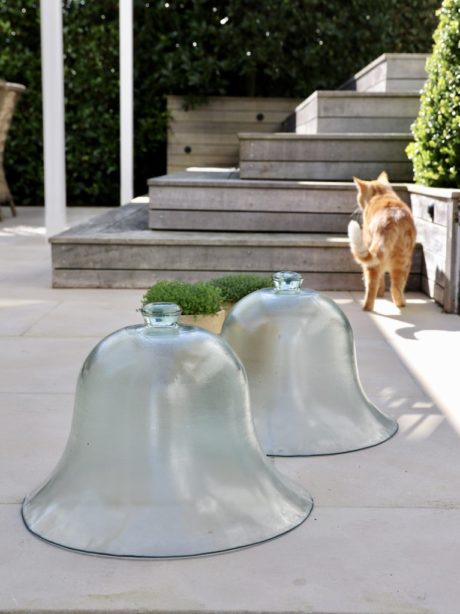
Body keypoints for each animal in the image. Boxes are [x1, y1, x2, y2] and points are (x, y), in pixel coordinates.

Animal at [348, 172, 416, 312]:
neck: (381, 194)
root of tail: (391, 220)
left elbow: (380, 279)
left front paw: (380, 293)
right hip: (404, 261)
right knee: (395, 287)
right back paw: (401, 304)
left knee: (373, 284)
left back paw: (367, 307)